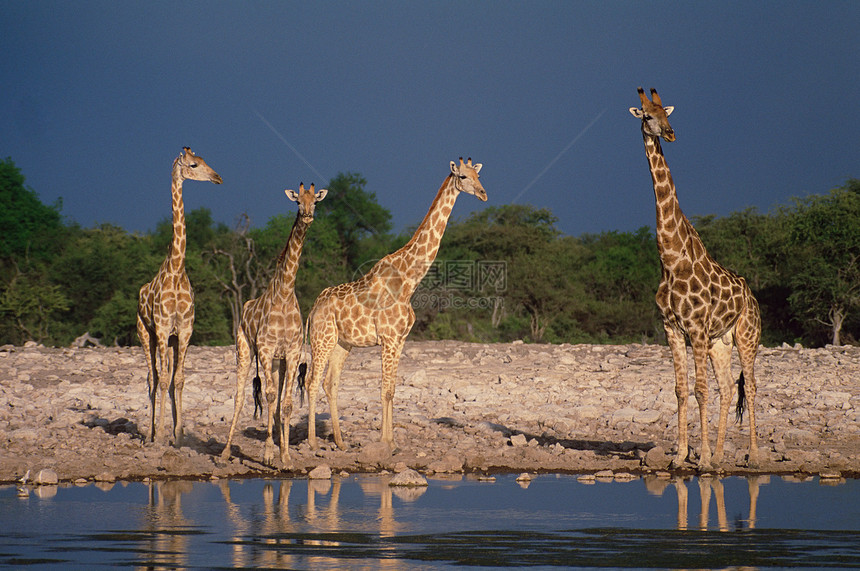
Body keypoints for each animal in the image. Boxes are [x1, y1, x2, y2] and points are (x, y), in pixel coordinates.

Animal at [137, 145, 222, 444]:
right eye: (194, 165)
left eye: (205, 160)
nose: (218, 177)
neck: (175, 271)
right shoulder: (162, 329)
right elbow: (162, 380)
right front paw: (161, 434)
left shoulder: (184, 330)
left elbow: (180, 380)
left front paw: (179, 434)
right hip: (146, 334)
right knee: (152, 378)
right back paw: (151, 433)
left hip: (171, 341)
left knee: (168, 378)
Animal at [220, 183, 328, 470]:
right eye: (297, 201)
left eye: (316, 201)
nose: (308, 216)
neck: (285, 292)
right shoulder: (266, 350)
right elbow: (268, 396)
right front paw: (269, 454)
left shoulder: (291, 353)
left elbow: (286, 404)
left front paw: (286, 456)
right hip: (245, 351)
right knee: (240, 397)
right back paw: (224, 453)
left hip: (278, 363)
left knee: (277, 401)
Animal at [306, 156, 488, 452]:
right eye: (462, 176)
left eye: (478, 175)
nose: (483, 194)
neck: (409, 280)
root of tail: (313, 309)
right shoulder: (389, 339)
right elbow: (384, 390)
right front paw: (385, 442)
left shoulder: (401, 340)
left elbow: (392, 389)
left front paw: (391, 441)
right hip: (321, 339)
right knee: (311, 382)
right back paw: (312, 442)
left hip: (342, 343)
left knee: (330, 383)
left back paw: (341, 442)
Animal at [628, 89, 764, 472]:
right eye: (647, 115)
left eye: (667, 113)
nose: (670, 133)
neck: (671, 259)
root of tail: (752, 296)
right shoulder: (672, 329)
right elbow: (680, 390)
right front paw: (681, 456)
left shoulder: (696, 329)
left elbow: (700, 390)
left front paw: (699, 458)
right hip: (720, 342)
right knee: (729, 387)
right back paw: (719, 455)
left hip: (747, 336)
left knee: (751, 385)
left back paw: (752, 456)